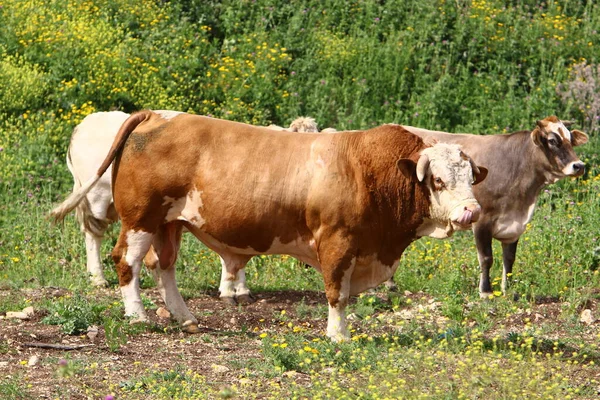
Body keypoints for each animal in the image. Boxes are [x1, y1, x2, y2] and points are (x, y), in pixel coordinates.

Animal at [52, 110, 488, 340]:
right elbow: (337, 294)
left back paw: (185, 317)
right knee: (127, 260)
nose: (470, 212)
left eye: (470, 177)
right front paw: (338, 335)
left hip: (169, 223)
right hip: (140, 218)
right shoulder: (337, 242)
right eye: (438, 180)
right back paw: (137, 315)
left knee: (165, 267)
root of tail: (155, 114)